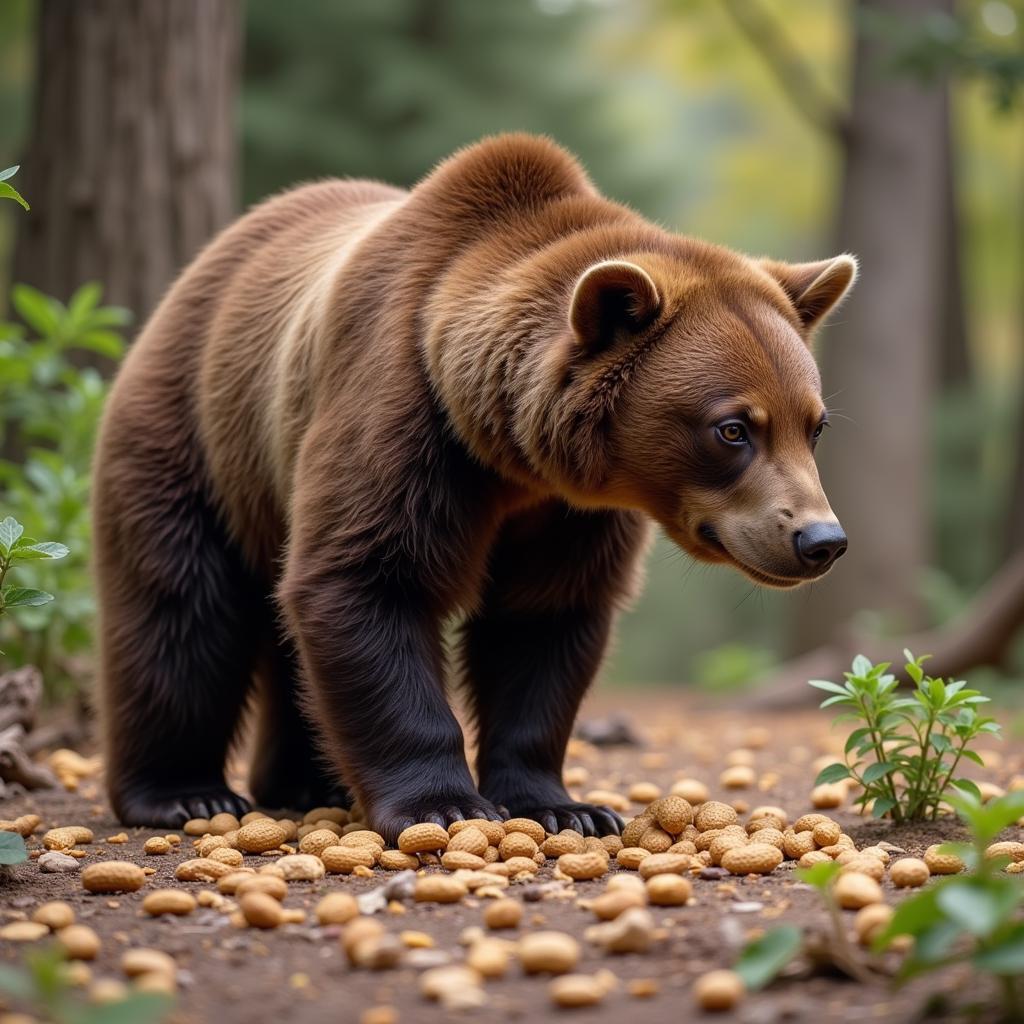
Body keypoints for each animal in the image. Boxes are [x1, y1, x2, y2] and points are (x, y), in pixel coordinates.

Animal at [92, 134, 851, 839]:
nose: (820, 538)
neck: (506, 455)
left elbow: (542, 623)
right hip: (198, 436)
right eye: (733, 428)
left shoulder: (566, 513)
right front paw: (445, 803)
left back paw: (308, 783)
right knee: (181, 610)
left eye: (812, 424)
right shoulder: (406, 419)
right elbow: (369, 579)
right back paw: (184, 792)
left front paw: (565, 807)